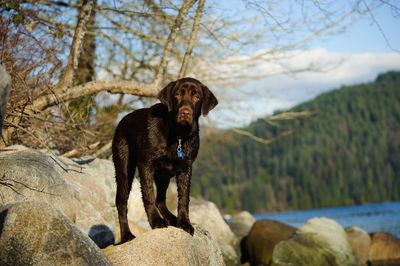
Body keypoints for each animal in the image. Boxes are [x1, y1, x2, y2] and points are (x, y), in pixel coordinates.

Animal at [112, 77, 219, 243]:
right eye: (178, 94)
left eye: (196, 97)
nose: (185, 112)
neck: (178, 134)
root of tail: (122, 121)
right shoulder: (146, 165)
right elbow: (148, 195)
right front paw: (156, 221)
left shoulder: (186, 168)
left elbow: (184, 199)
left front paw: (184, 223)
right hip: (124, 170)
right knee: (121, 203)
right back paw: (126, 235)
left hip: (164, 175)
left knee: (160, 200)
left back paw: (172, 219)